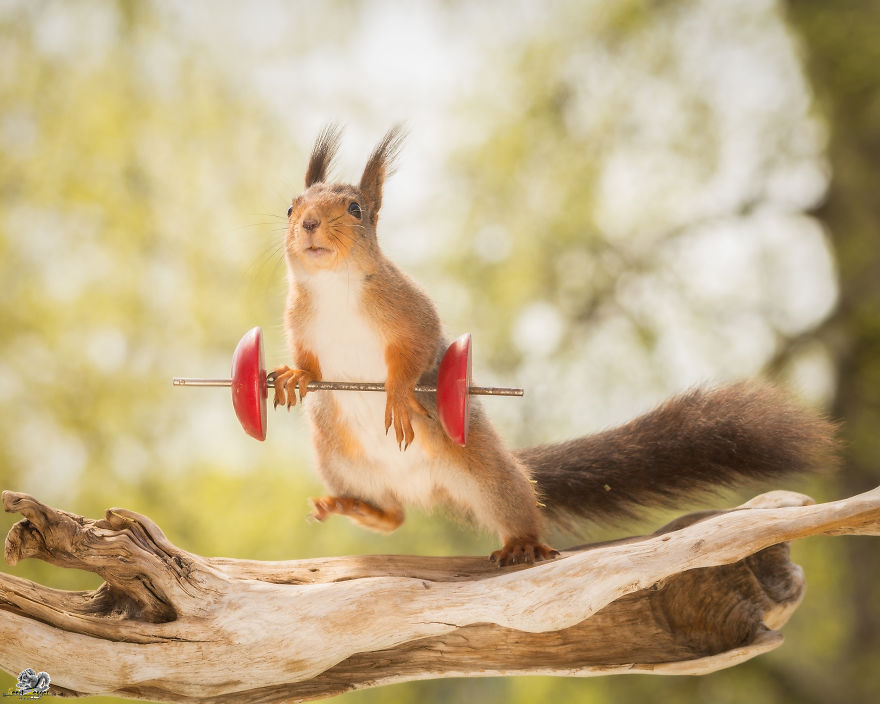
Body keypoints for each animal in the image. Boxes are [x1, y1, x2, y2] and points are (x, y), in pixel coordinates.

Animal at [272, 125, 838, 566]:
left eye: (355, 208)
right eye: (291, 207)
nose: (309, 224)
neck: (335, 288)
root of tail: (425, 486)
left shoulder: (409, 310)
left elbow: (418, 351)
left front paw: (395, 393)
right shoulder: (299, 320)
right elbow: (307, 358)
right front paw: (296, 376)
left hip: (484, 468)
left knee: (514, 506)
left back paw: (523, 543)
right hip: (337, 456)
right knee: (393, 515)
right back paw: (354, 507)